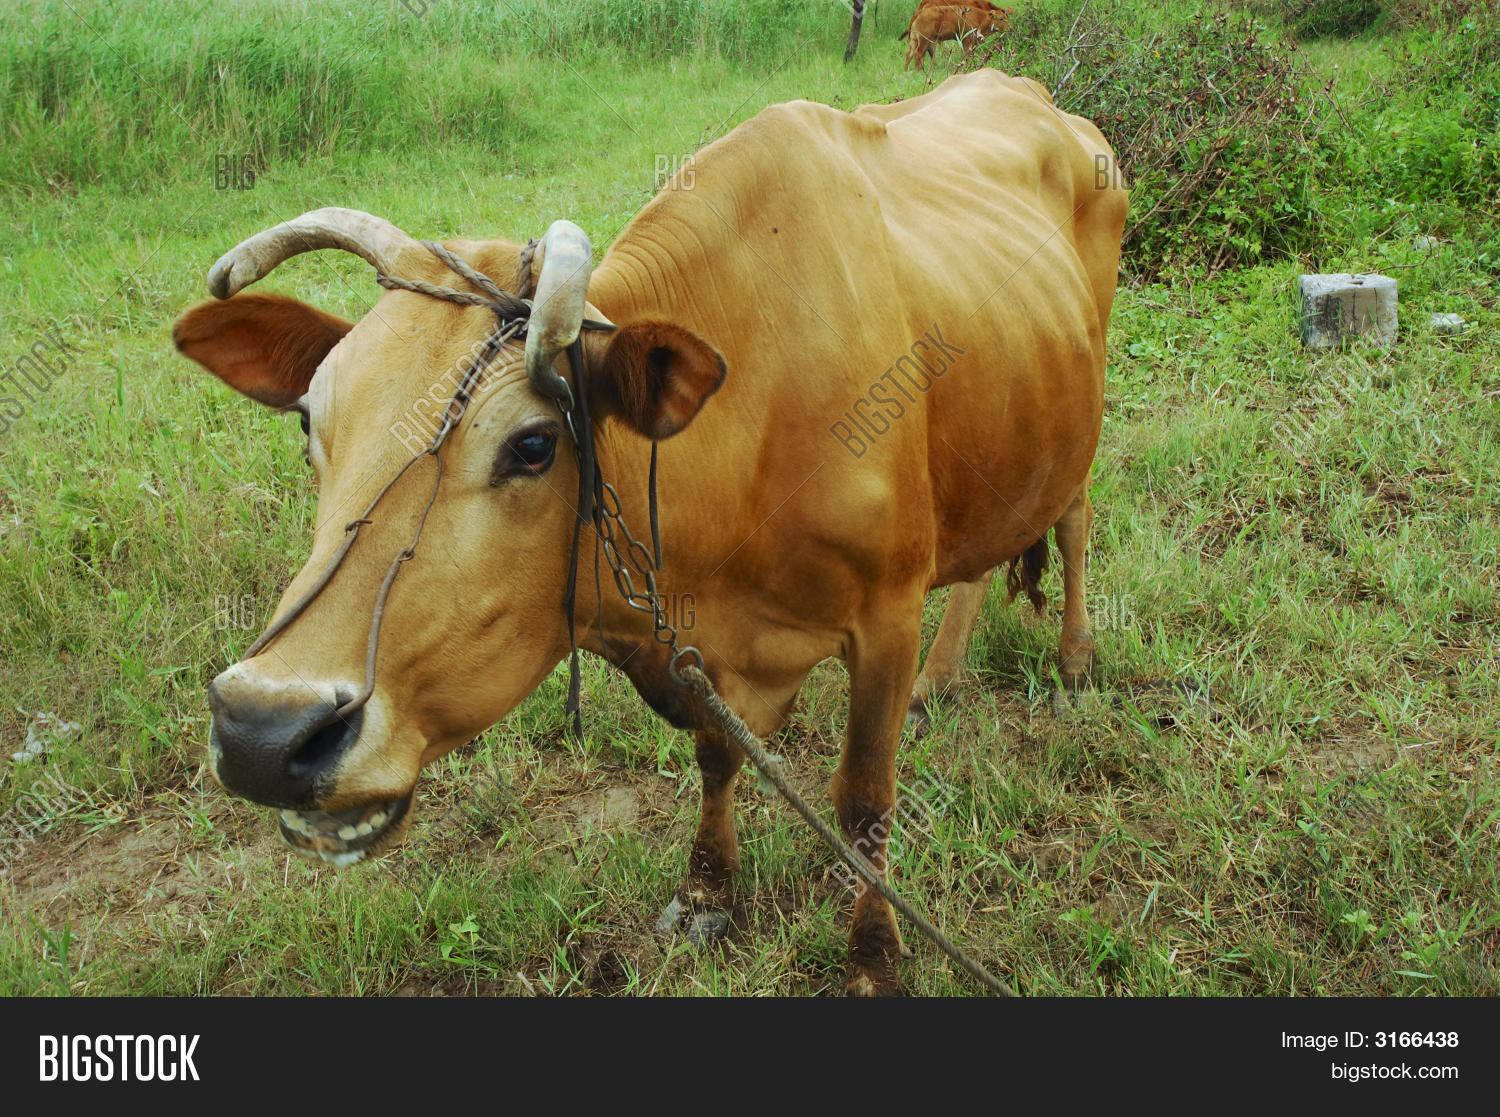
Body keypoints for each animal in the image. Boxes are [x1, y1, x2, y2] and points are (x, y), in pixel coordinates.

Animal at [172, 69, 1127, 996]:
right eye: (310, 424)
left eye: (533, 444)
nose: (262, 731)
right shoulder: (700, 652)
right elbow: (716, 754)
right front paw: (706, 892)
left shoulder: (885, 615)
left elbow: (863, 799)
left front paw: (873, 959)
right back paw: (943, 678)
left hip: (1079, 424)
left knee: (1073, 523)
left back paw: (1076, 662)